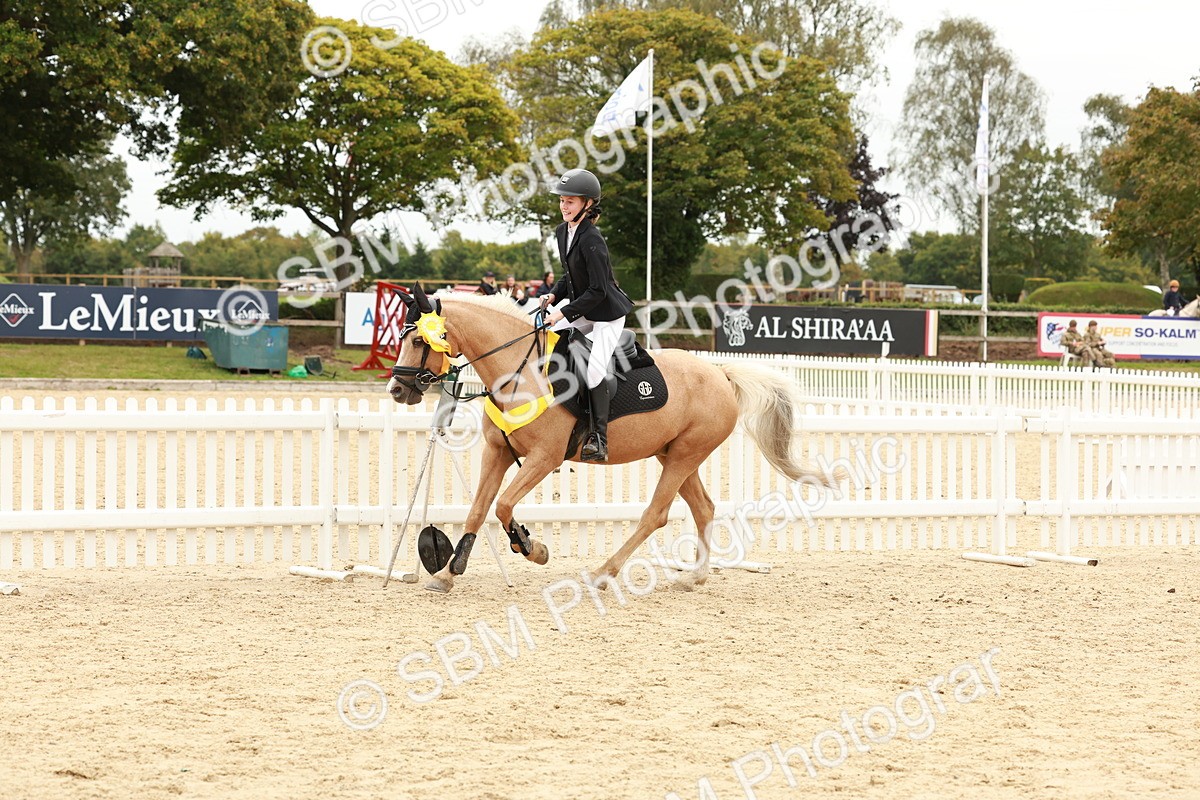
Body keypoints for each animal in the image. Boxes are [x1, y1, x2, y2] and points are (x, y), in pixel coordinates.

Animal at [386, 284, 836, 594]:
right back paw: (693, 577)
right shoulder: (497, 452)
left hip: (684, 455)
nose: (397, 390)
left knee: (656, 514)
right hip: (675, 455)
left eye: (418, 340)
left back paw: (603, 573)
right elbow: (479, 510)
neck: (519, 369)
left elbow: (503, 506)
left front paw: (533, 549)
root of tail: (721, 373)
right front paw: (448, 573)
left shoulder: (544, 458)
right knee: (704, 508)